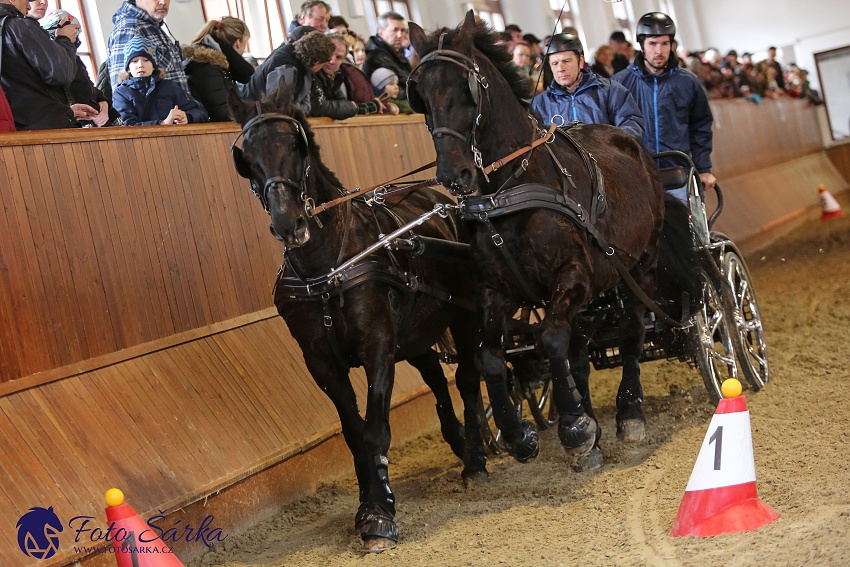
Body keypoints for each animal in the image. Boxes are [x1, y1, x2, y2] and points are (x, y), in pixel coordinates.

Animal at [229, 89, 486, 552]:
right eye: (248, 159)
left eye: (296, 147)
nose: (289, 224)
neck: (328, 267)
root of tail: (444, 199)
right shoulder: (321, 363)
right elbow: (353, 433)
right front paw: (368, 502)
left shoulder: (377, 347)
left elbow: (375, 429)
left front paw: (380, 514)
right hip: (416, 332)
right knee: (435, 377)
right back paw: (457, 441)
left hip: (461, 315)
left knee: (469, 379)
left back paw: (476, 459)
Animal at [410, 14, 696, 470]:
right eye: (419, 93)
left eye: (465, 88)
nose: (453, 175)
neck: (513, 187)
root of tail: (637, 149)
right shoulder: (495, 289)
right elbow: (491, 356)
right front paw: (521, 435)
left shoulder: (573, 274)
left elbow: (548, 339)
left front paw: (574, 430)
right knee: (579, 349)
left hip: (641, 267)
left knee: (631, 332)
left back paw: (628, 412)